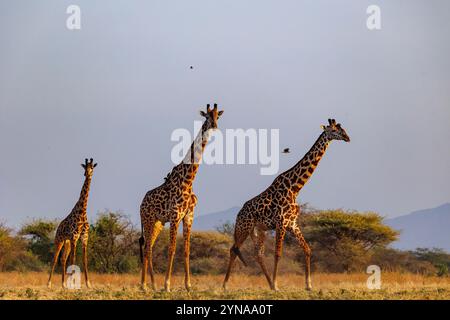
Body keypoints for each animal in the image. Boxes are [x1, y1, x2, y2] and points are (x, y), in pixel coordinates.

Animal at [47, 158, 97, 290]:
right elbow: (73, 260)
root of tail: (58, 227)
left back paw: (64, 284)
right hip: (59, 240)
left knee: (63, 259)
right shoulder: (75, 237)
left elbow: (84, 260)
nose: (87, 174)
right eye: (85, 167)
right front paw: (74, 284)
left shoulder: (84, 237)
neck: (83, 211)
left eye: (92, 167)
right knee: (55, 259)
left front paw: (88, 284)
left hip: (67, 242)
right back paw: (49, 283)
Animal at [140, 103, 224, 292]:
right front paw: (167, 285)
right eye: (207, 116)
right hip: (148, 220)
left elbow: (186, 250)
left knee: (149, 246)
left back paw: (150, 284)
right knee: (147, 247)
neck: (188, 181)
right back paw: (146, 285)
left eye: (217, 116)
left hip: (158, 222)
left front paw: (188, 285)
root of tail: (141, 203)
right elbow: (172, 248)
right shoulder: (175, 216)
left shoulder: (188, 216)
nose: (214, 126)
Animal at [223, 119, 350, 292]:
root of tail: (238, 214)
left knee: (258, 254)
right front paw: (277, 285)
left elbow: (307, 249)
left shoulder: (293, 224)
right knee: (233, 249)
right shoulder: (281, 223)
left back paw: (268, 284)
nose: (347, 137)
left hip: (259, 230)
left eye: (342, 128)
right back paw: (225, 285)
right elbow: (278, 253)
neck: (295, 188)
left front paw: (308, 285)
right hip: (244, 228)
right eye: (334, 130)